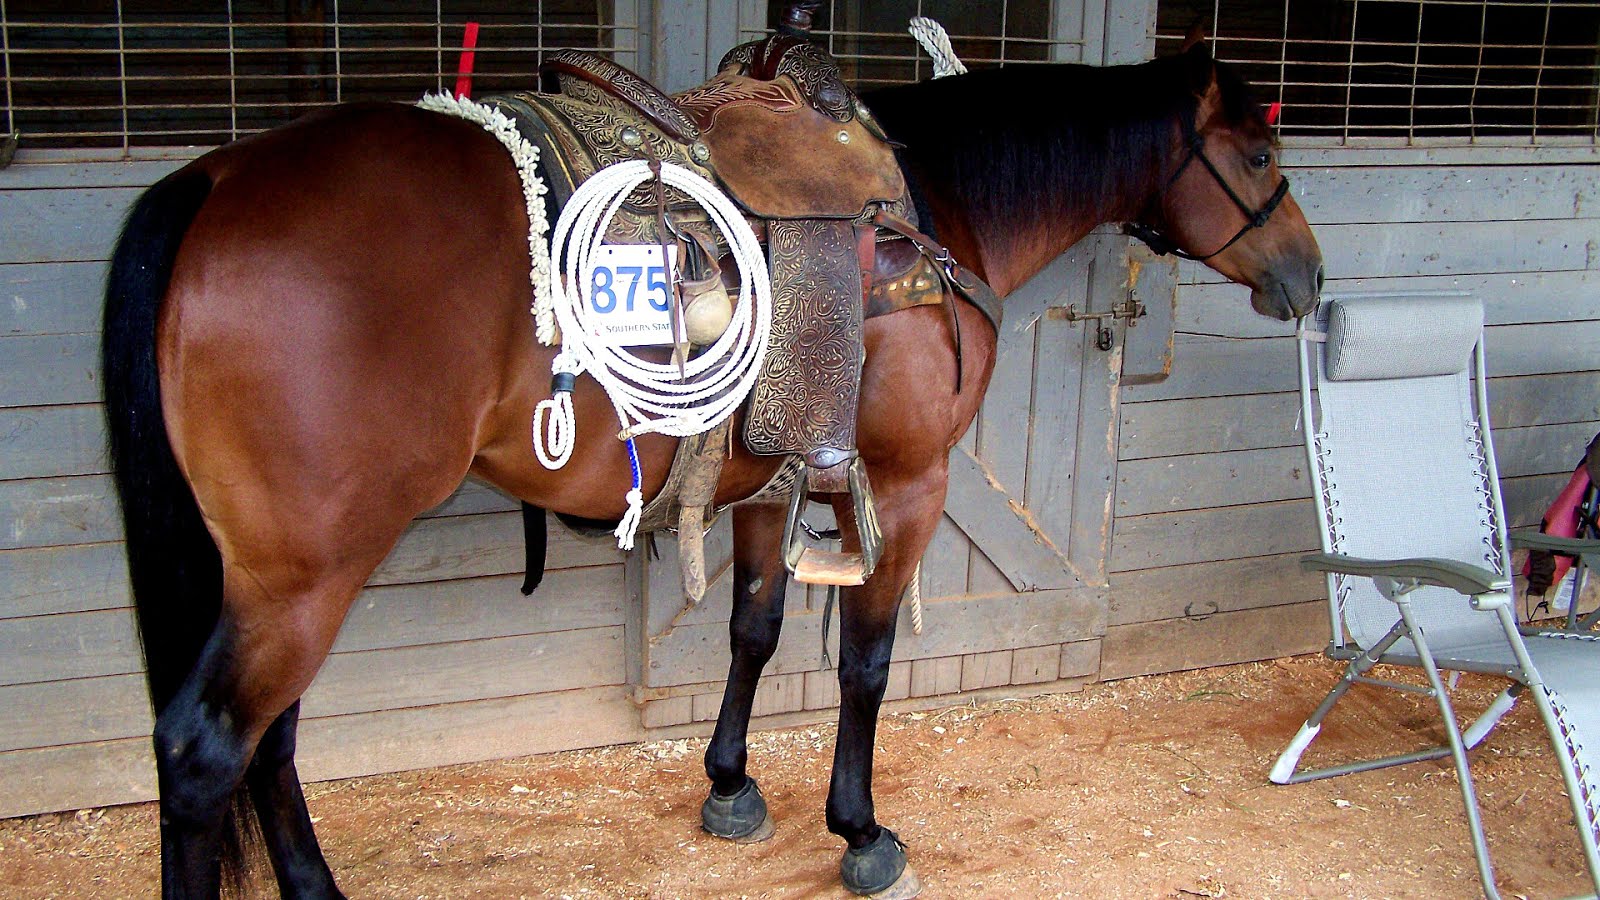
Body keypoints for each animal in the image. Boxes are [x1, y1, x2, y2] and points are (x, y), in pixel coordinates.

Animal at [99, 33, 1320, 899]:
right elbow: (864, 662)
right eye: (1261, 154)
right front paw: (859, 830)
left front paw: (731, 784)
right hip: (305, 578)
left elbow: (754, 627)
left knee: (272, 744)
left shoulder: (768, 478)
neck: (934, 205)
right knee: (208, 751)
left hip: (277, 578)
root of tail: (213, 181)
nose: (1307, 278)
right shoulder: (909, 483)